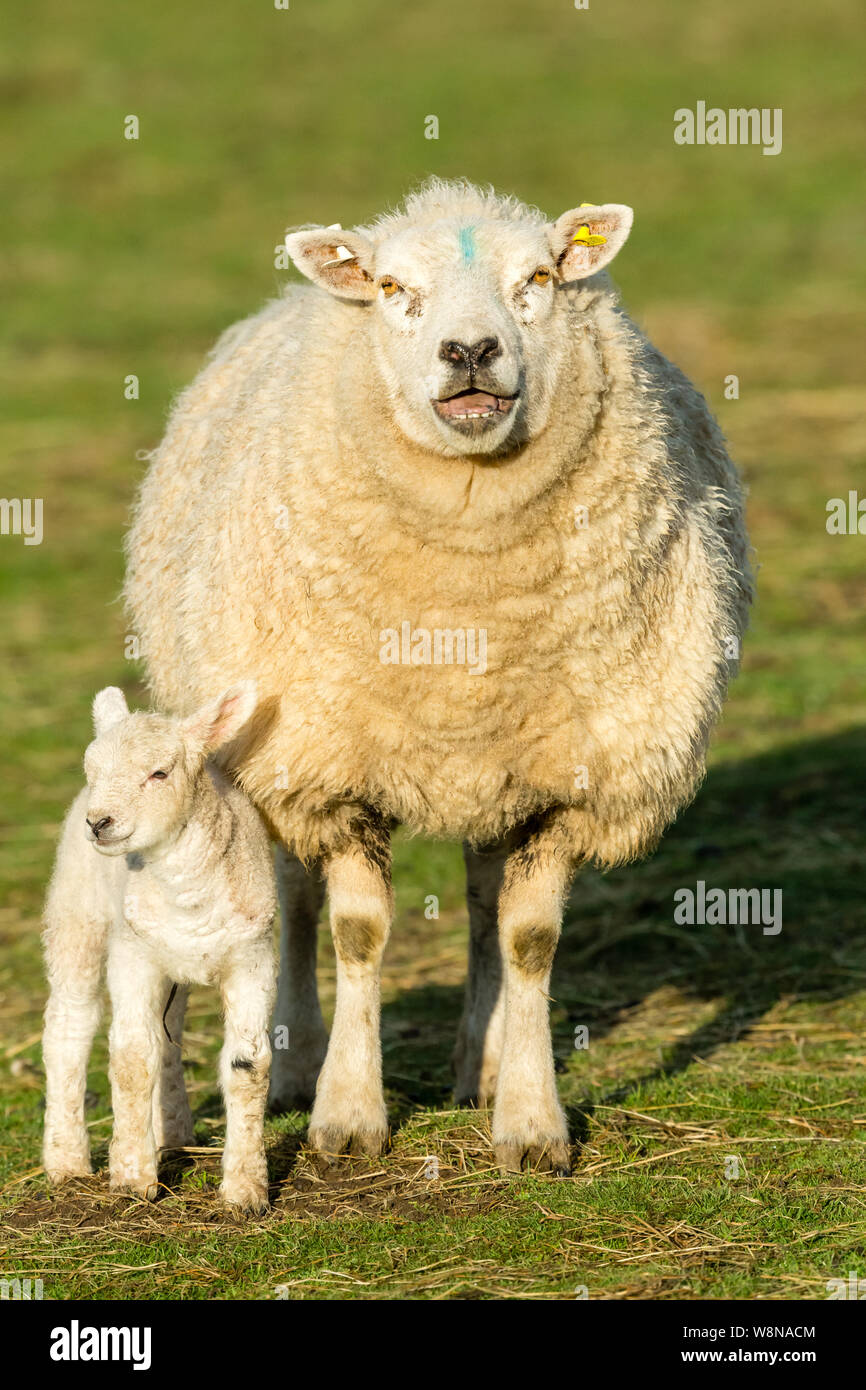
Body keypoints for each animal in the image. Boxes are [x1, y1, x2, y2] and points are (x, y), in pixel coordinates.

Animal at [41, 689, 278, 1212]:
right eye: (91, 771)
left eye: (159, 774)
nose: (99, 823)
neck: (188, 894)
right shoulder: (133, 955)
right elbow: (131, 1059)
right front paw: (132, 1178)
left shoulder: (253, 956)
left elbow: (249, 1065)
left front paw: (246, 1190)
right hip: (76, 909)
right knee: (70, 1024)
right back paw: (66, 1161)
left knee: (167, 1037)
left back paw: (171, 1133)